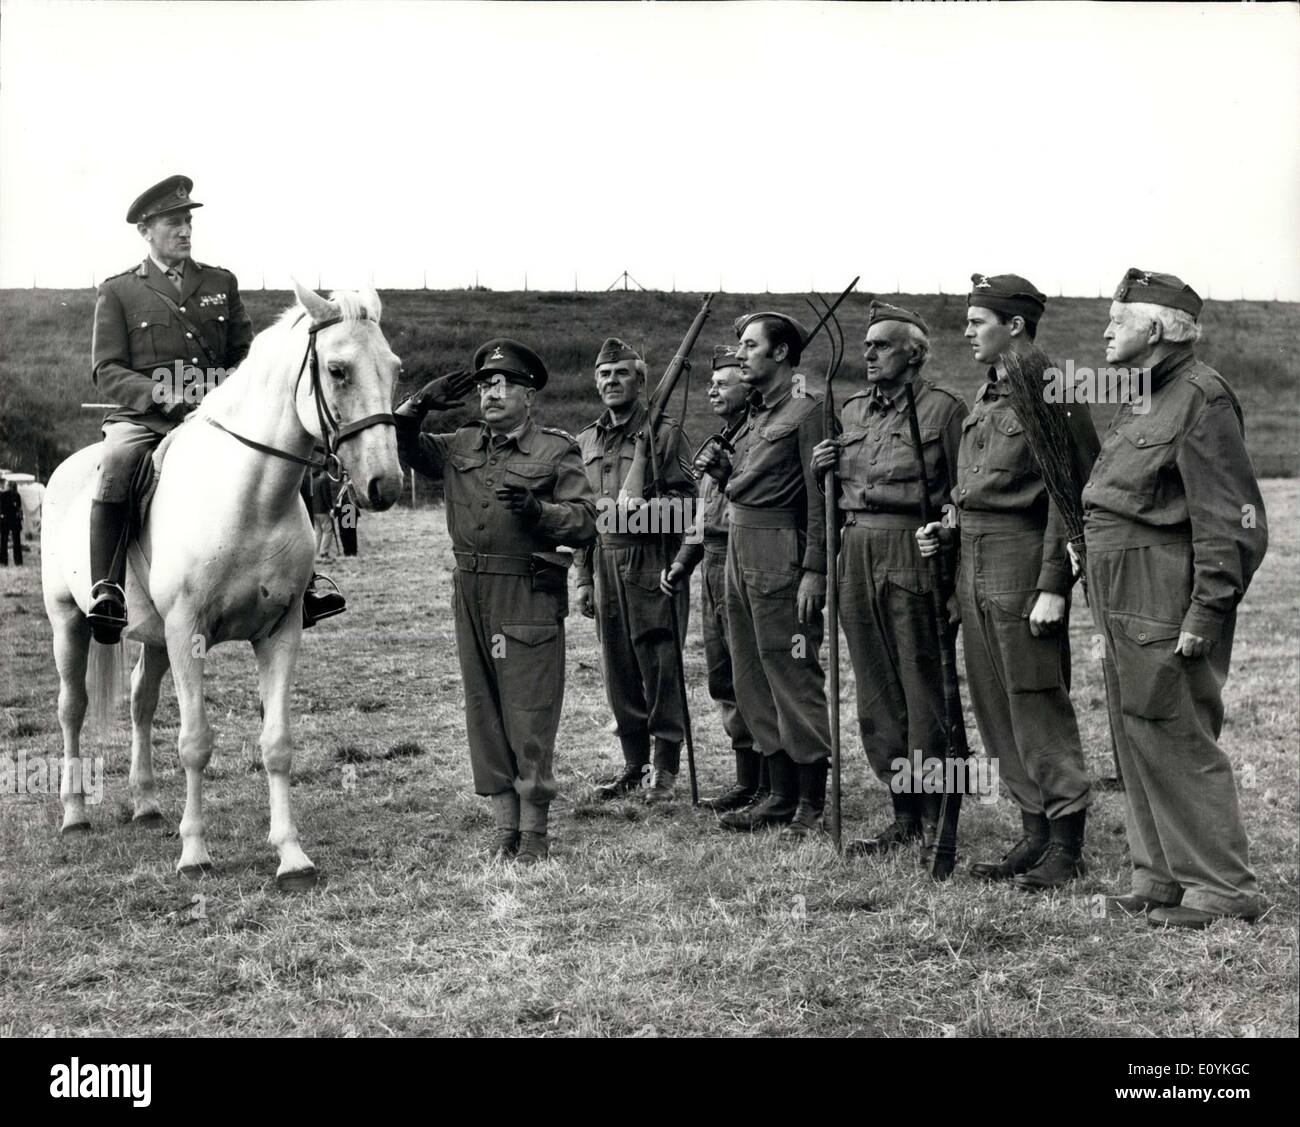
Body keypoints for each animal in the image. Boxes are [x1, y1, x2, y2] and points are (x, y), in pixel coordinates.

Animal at [41, 282, 400, 889]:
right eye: (338, 369)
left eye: (394, 368)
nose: (386, 483)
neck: (250, 499)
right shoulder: (189, 631)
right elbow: (194, 743)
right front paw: (194, 854)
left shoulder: (280, 632)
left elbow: (277, 743)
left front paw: (292, 857)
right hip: (70, 621)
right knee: (73, 707)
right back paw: (74, 815)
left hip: (155, 637)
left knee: (140, 703)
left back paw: (146, 805)